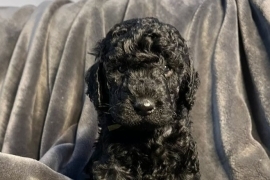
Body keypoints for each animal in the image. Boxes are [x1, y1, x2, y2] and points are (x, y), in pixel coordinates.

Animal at [85, 17, 199, 180]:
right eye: (121, 69)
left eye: (166, 68)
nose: (144, 106)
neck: (146, 137)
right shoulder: (111, 164)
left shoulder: (184, 164)